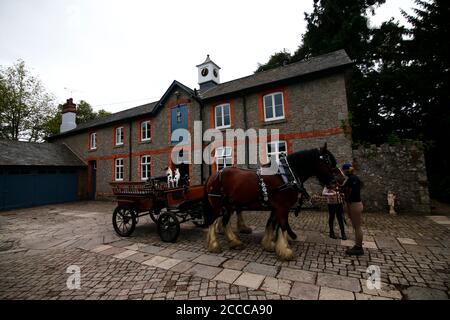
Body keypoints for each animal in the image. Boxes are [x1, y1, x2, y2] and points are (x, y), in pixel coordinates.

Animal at [206, 144, 340, 262]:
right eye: (327, 161)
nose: (335, 181)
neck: (286, 176)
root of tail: (214, 175)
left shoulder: (276, 208)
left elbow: (271, 223)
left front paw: (269, 244)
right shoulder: (282, 207)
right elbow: (283, 226)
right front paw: (285, 251)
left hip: (229, 205)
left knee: (225, 222)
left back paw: (235, 242)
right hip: (218, 205)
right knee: (212, 221)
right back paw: (214, 245)